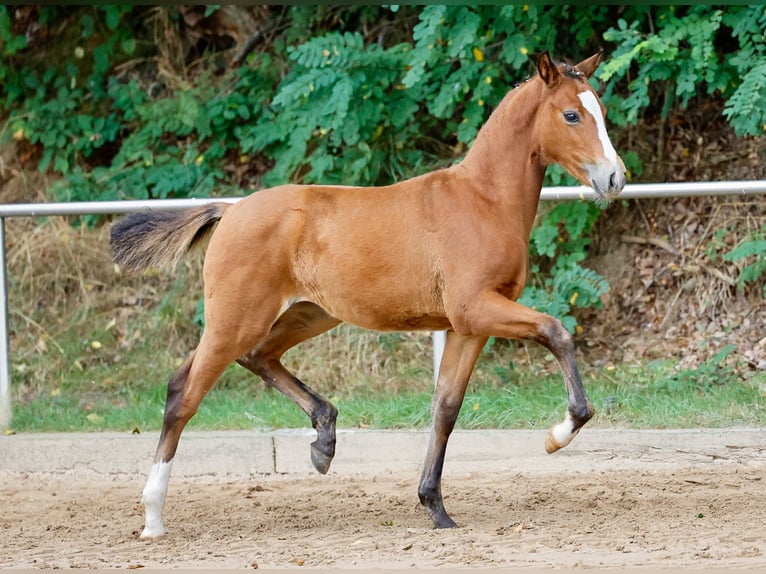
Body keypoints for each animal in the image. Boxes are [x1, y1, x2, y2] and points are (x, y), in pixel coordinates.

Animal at [114, 51, 632, 536]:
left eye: (601, 110)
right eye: (571, 114)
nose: (614, 179)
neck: (483, 201)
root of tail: (231, 209)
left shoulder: (467, 327)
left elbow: (446, 408)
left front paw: (436, 508)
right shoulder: (477, 309)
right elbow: (556, 331)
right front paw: (558, 434)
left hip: (307, 314)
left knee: (256, 357)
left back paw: (324, 441)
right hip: (236, 318)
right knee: (185, 393)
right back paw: (153, 517)